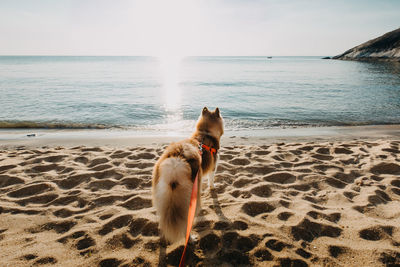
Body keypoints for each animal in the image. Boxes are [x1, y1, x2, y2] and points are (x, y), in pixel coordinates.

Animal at [152, 107, 223, 245]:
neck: (206, 132)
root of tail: (176, 162)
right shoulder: (213, 167)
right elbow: (211, 180)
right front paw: (213, 187)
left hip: (161, 198)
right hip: (192, 199)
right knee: (186, 223)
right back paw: (190, 239)